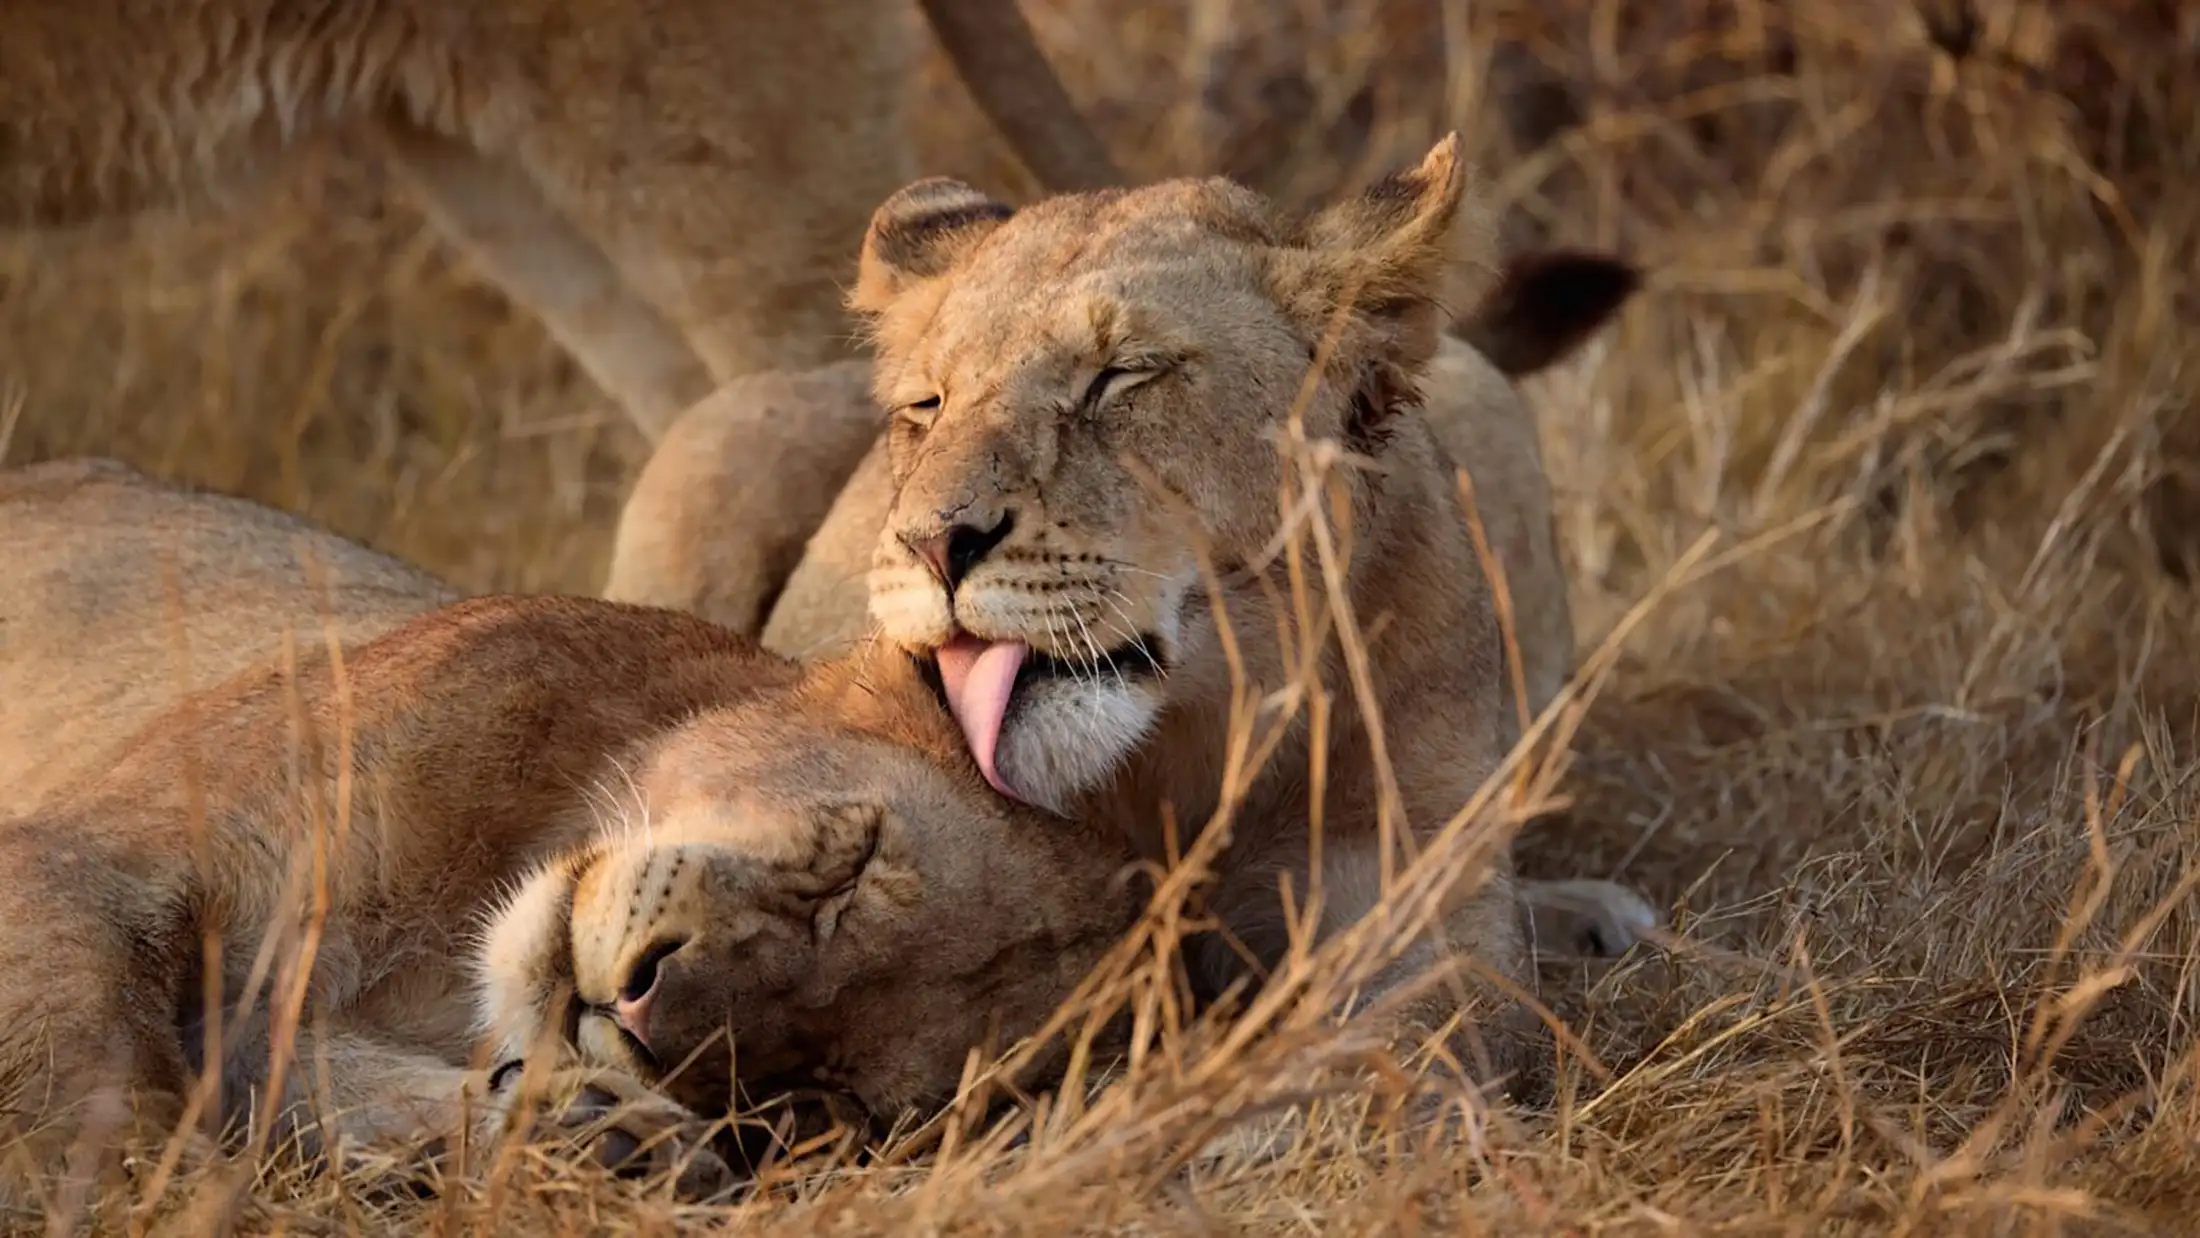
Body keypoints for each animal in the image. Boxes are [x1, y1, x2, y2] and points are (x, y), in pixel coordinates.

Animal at [0, 458, 1137, 1203]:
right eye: (851, 870)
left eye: (820, 1094)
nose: (635, 1009)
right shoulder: (87, 860)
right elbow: (96, 1102)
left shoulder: (256, 1029)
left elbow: (300, 1087)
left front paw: (592, 1138)